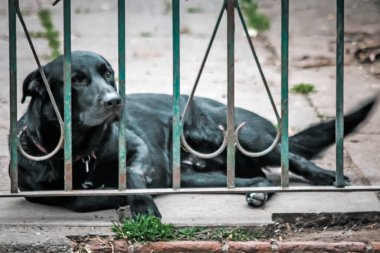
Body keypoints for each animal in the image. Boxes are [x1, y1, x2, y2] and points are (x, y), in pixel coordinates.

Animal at [14, 51, 374, 217]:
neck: (81, 150)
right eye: (76, 80)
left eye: (109, 74)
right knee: (262, 177)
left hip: (243, 137)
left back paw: (326, 176)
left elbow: (131, 177)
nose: (115, 100)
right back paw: (257, 191)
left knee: (290, 158)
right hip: (195, 176)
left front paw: (141, 204)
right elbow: (81, 197)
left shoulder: (138, 150)